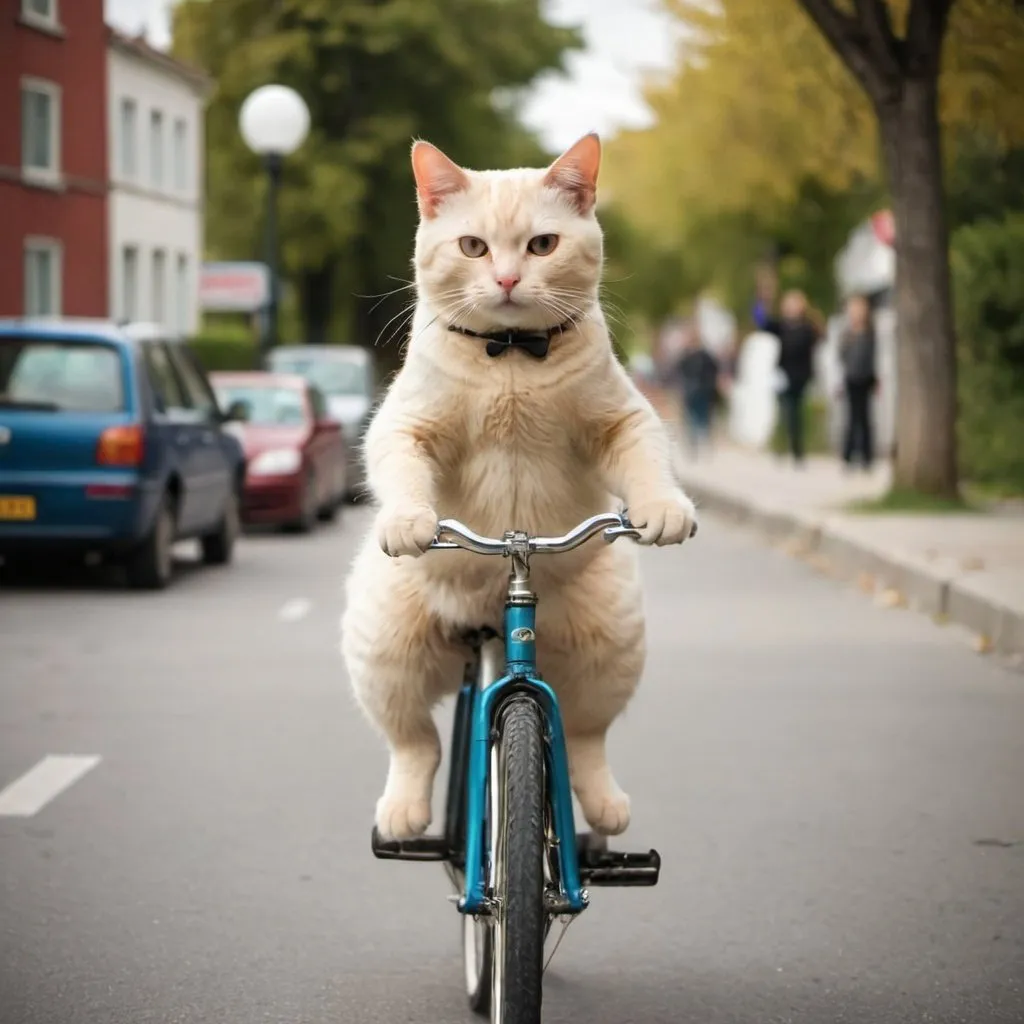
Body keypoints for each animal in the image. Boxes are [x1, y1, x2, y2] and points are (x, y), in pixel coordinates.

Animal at [342, 134, 696, 839]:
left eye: (542, 245)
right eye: (473, 247)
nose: (506, 279)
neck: (509, 352)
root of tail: (486, 613)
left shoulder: (622, 420)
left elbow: (648, 462)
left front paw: (664, 508)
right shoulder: (404, 426)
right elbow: (400, 468)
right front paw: (408, 521)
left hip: (609, 644)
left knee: (585, 740)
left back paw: (606, 806)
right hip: (387, 647)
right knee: (414, 742)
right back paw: (403, 813)